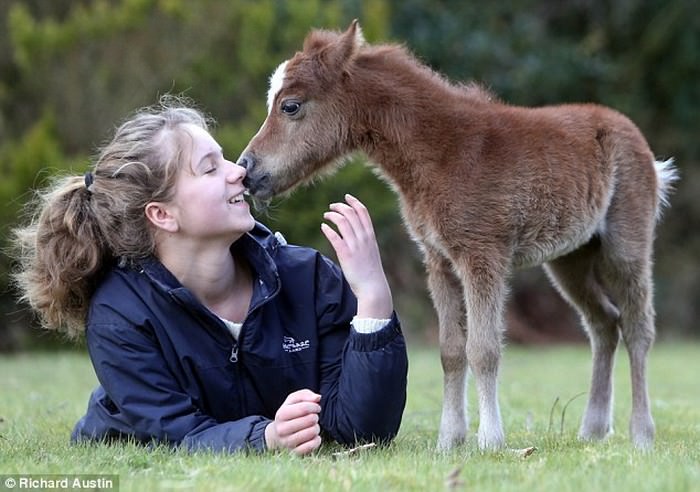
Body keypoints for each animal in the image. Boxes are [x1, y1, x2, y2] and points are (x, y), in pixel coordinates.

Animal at [238, 21, 676, 452]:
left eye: (290, 106)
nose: (246, 169)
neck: (445, 151)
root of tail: (633, 137)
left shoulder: (483, 255)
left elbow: (483, 349)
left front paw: (490, 441)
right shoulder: (439, 260)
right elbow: (450, 350)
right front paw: (449, 440)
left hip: (625, 246)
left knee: (637, 328)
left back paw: (642, 434)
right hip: (571, 258)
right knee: (604, 324)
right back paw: (593, 429)